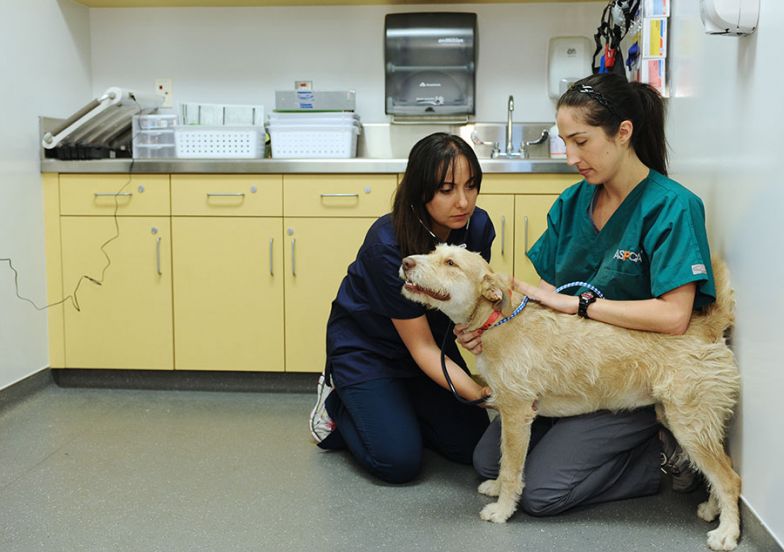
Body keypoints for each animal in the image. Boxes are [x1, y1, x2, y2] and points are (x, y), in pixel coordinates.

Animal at [398, 245, 740, 552]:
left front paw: (502, 509)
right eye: (433, 251)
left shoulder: (516, 412)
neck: (498, 319)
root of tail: (705, 326)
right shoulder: (511, 415)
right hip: (679, 418)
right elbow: (502, 458)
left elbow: (511, 468)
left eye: (451, 263)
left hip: (690, 425)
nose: (406, 262)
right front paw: (495, 487)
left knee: (731, 478)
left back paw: (727, 533)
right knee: (724, 466)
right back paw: (713, 509)